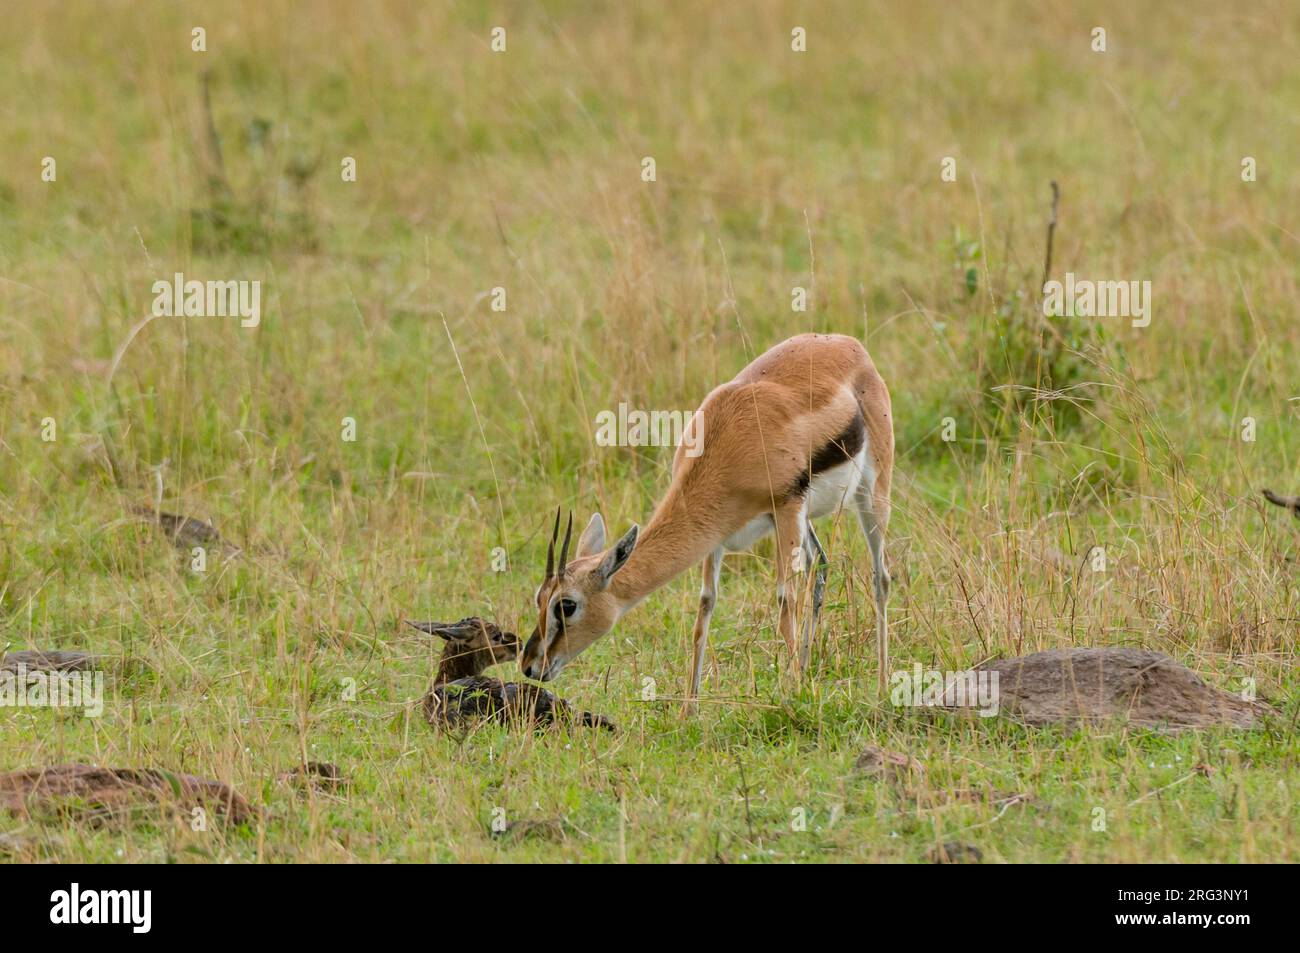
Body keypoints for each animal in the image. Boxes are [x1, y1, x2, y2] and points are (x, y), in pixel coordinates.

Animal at [520, 332, 894, 698]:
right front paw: (689, 707)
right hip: (807, 520)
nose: (529, 666)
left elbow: (784, 599)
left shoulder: (785, 508)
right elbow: (705, 606)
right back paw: (807, 669)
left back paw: (880, 687)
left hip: (869, 494)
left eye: (566, 605)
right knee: (820, 565)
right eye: (539, 598)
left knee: (880, 577)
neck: (727, 442)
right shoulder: (715, 535)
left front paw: (791, 697)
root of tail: (849, 345)